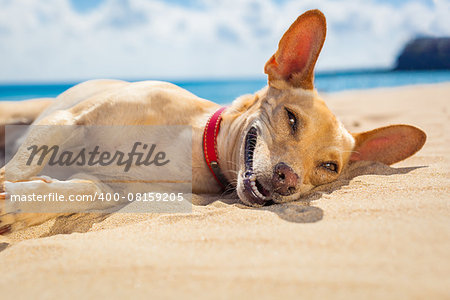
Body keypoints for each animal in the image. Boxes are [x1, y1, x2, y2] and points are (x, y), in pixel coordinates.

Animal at [0, 9, 426, 233]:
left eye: (329, 167)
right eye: (291, 119)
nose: (288, 179)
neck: (191, 145)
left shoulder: (106, 188)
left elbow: (69, 192)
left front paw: (18, 203)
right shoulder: (67, 120)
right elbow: (20, 168)